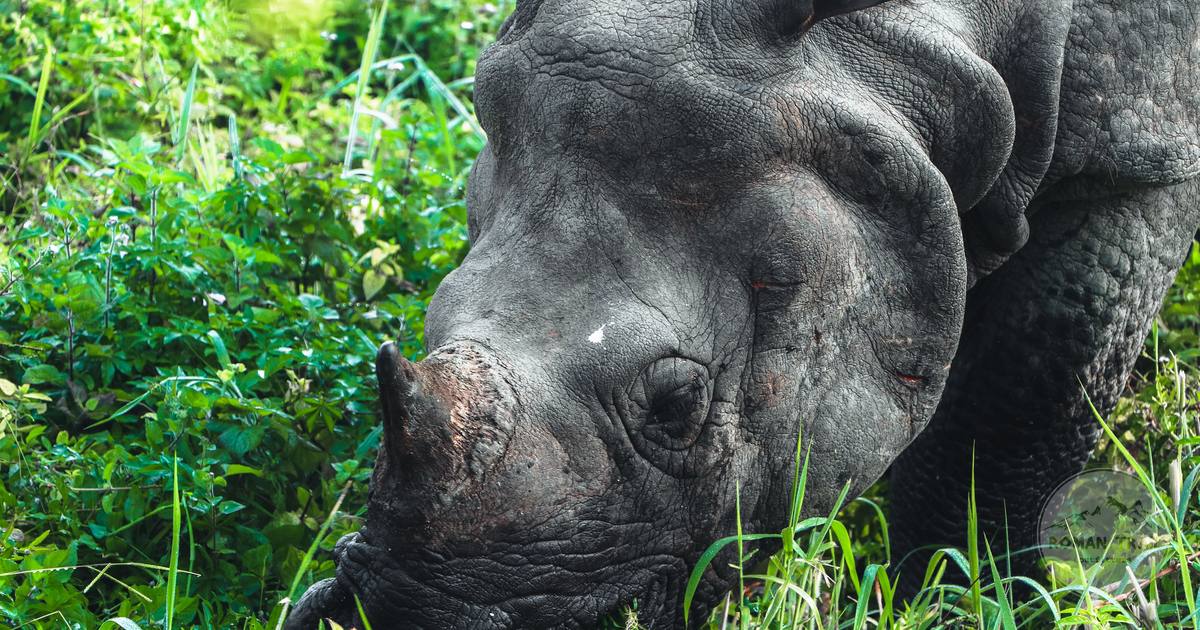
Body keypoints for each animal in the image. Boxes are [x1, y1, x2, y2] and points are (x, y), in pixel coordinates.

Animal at [288, 0, 1200, 627]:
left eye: (677, 406)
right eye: (431, 326)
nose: (410, 612)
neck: (906, 50)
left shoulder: (1137, 160)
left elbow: (1011, 414)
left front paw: (961, 601)